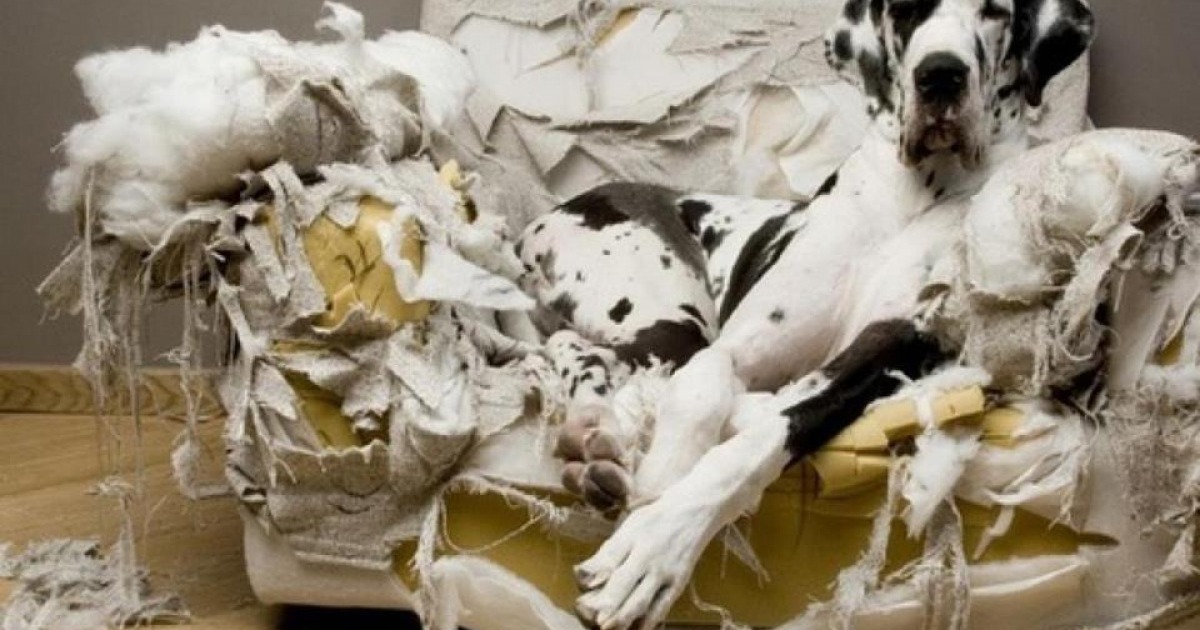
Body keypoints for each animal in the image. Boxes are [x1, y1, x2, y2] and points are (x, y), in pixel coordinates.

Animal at [515, 0, 1096, 627]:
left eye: (996, 12)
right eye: (905, 12)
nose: (940, 75)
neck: (912, 198)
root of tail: (535, 227)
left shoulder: (881, 353)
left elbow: (763, 435)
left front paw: (656, 544)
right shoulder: (733, 347)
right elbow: (702, 390)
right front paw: (662, 476)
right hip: (672, 321)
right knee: (579, 348)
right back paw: (596, 430)